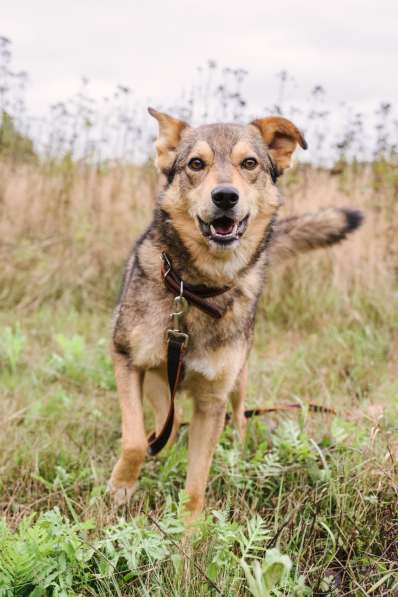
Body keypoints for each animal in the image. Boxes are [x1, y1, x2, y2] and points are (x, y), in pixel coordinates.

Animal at [107, 109, 362, 520]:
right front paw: (122, 486)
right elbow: (133, 440)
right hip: (159, 379)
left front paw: (189, 532)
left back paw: (238, 454)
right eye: (196, 164)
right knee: (168, 421)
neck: (196, 291)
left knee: (240, 416)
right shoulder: (126, 358)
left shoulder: (212, 400)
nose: (226, 196)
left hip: (239, 377)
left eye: (250, 163)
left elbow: (196, 485)